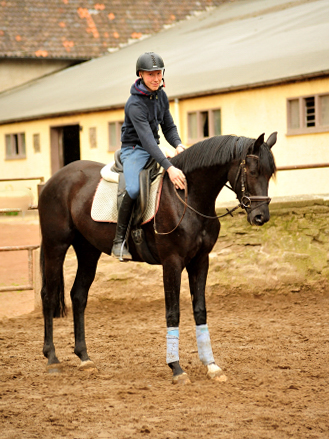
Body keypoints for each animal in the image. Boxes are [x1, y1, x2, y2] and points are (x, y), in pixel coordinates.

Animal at [38, 132, 276, 384]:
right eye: (252, 171)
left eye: (270, 173)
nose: (261, 217)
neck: (187, 197)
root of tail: (54, 180)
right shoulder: (172, 262)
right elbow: (173, 313)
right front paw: (177, 368)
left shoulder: (201, 261)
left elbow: (200, 310)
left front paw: (211, 365)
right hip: (56, 246)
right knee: (49, 296)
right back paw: (52, 358)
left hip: (88, 251)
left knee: (78, 296)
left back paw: (84, 358)